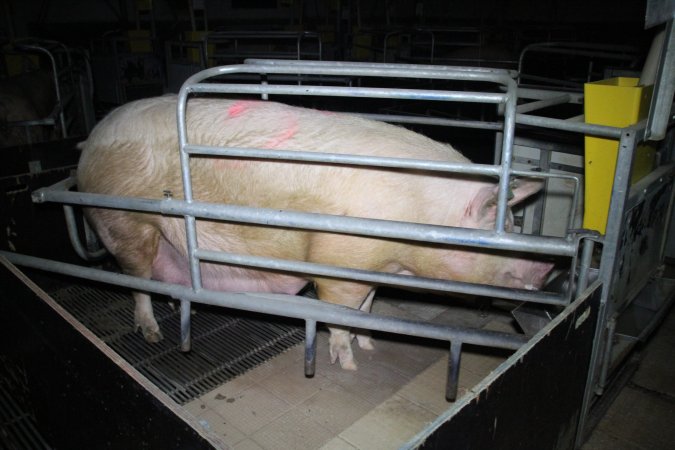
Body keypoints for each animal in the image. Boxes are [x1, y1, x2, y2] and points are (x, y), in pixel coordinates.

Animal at [78, 95, 556, 370]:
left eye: (515, 224)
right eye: (501, 228)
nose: (548, 267)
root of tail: (90, 140)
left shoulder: (375, 268)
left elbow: (367, 307)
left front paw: (370, 346)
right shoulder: (338, 258)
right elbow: (339, 311)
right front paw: (348, 365)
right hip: (125, 221)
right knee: (136, 280)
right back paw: (152, 333)